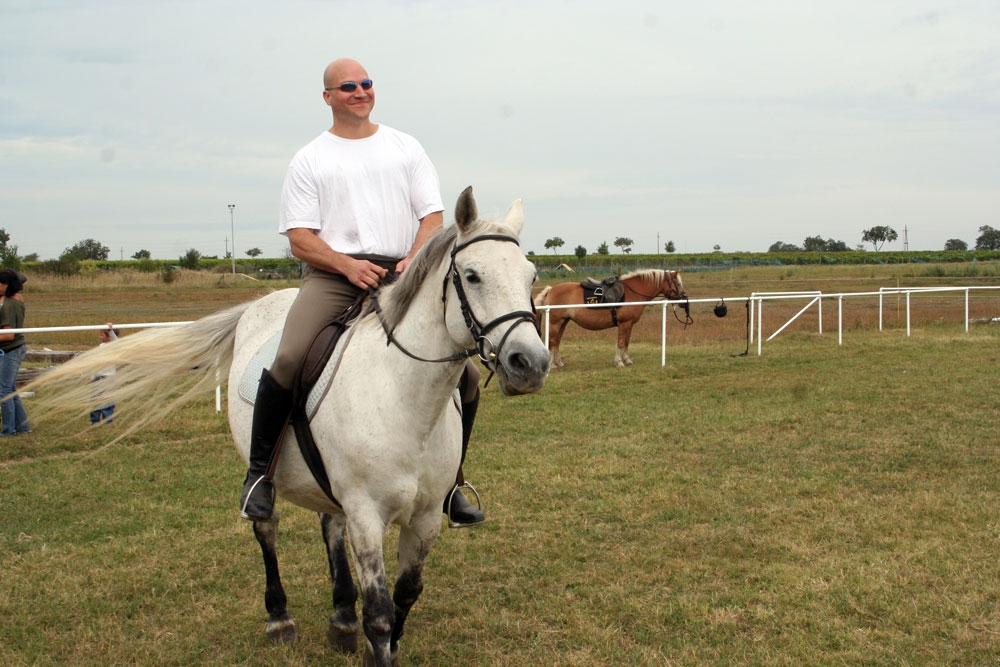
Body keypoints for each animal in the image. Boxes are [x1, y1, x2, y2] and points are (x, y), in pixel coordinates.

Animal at [21, 187, 556, 667]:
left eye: (530, 274)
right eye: (472, 275)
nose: (530, 363)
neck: (402, 398)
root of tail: (262, 303)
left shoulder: (424, 517)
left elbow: (406, 595)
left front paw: (374, 639)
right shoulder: (367, 514)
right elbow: (380, 611)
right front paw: (373, 644)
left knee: (329, 528)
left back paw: (341, 620)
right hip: (270, 474)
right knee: (267, 530)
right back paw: (280, 618)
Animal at [540, 268, 688, 368]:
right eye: (678, 283)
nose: (683, 299)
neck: (632, 293)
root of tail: (550, 289)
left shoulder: (629, 324)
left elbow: (626, 342)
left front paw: (627, 360)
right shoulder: (624, 323)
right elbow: (621, 342)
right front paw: (619, 362)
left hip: (563, 322)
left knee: (557, 341)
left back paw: (559, 362)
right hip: (555, 322)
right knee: (552, 341)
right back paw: (552, 365)